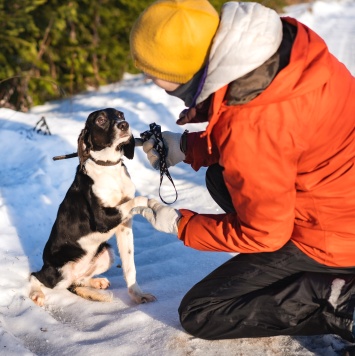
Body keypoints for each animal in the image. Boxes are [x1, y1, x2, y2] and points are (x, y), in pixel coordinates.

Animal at [29, 107, 158, 304]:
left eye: (121, 115)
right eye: (100, 120)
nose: (124, 125)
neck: (109, 167)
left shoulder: (124, 227)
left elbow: (130, 266)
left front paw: (138, 294)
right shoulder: (102, 219)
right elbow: (138, 199)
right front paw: (150, 203)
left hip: (106, 254)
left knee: (78, 281)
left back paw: (96, 284)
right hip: (60, 273)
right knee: (35, 276)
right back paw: (37, 294)